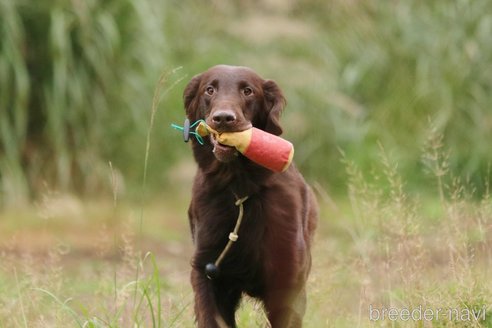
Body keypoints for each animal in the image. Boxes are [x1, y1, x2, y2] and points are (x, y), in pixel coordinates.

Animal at [183, 65, 318, 326]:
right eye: (209, 89)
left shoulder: (287, 279)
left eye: (248, 91)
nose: (223, 118)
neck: (239, 186)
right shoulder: (207, 271)